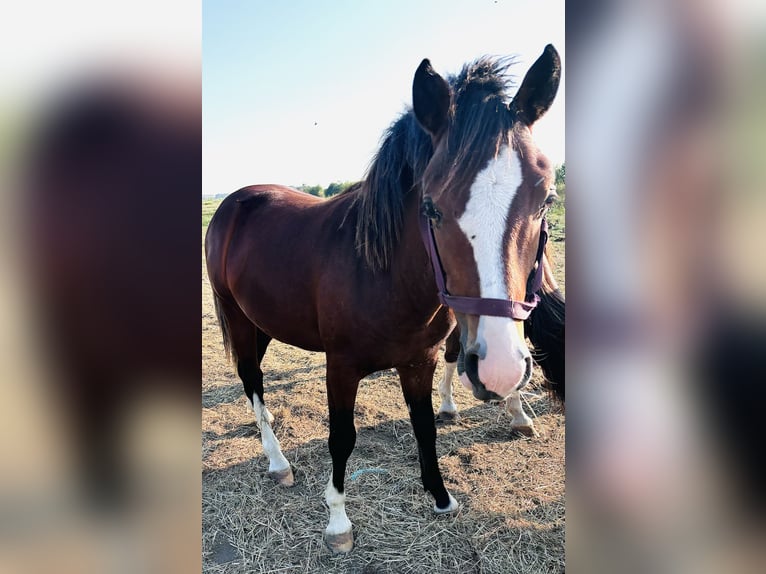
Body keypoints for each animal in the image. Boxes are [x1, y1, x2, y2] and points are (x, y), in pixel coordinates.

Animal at [207, 46, 560, 560]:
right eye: (431, 206)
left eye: (546, 200)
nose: (499, 369)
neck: (382, 274)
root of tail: (234, 202)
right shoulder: (341, 366)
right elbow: (342, 438)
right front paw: (337, 522)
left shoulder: (420, 361)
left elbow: (425, 426)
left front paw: (441, 497)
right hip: (236, 315)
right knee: (250, 377)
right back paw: (277, 461)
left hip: (264, 321)